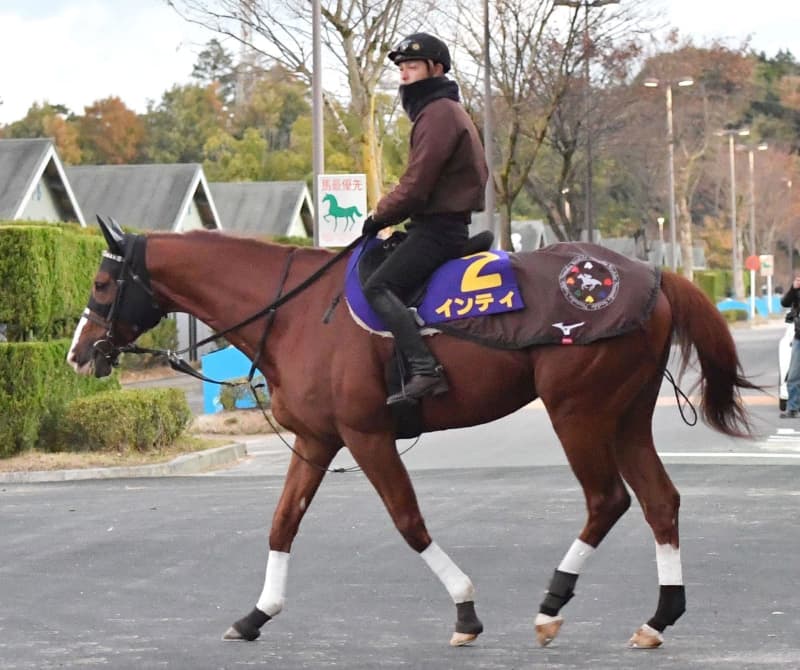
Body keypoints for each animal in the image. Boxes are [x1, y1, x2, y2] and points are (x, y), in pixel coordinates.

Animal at [67, 216, 756, 650]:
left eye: (101, 283)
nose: (78, 354)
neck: (296, 312)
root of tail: (651, 278)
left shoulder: (366, 436)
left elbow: (408, 521)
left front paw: (466, 610)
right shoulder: (318, 442)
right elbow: (282, 524)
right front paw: (256, 614)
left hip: (577, 412)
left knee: (607, 500)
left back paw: (552, 606)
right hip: (626, 417)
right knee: (659, 502)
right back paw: (658, 618)